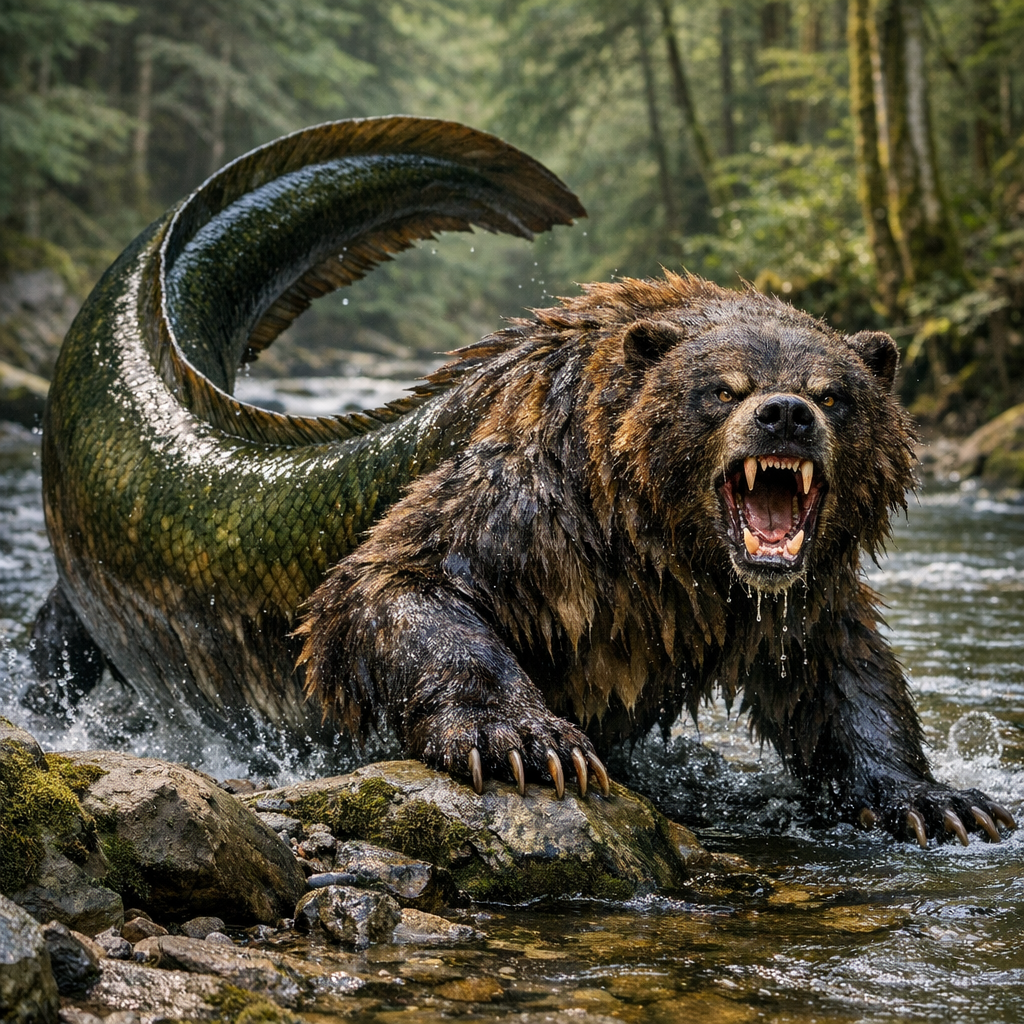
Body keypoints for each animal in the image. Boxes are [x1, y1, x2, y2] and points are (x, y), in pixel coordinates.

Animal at [297, 271, 1014, 846]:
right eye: (724, 390)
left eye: (833, 394)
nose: (786, 414)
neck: (668, 545)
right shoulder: (542, 505)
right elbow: (401, 577)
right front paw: (522, 740)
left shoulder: (801, 595)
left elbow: (840, 676)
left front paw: (938, 802)